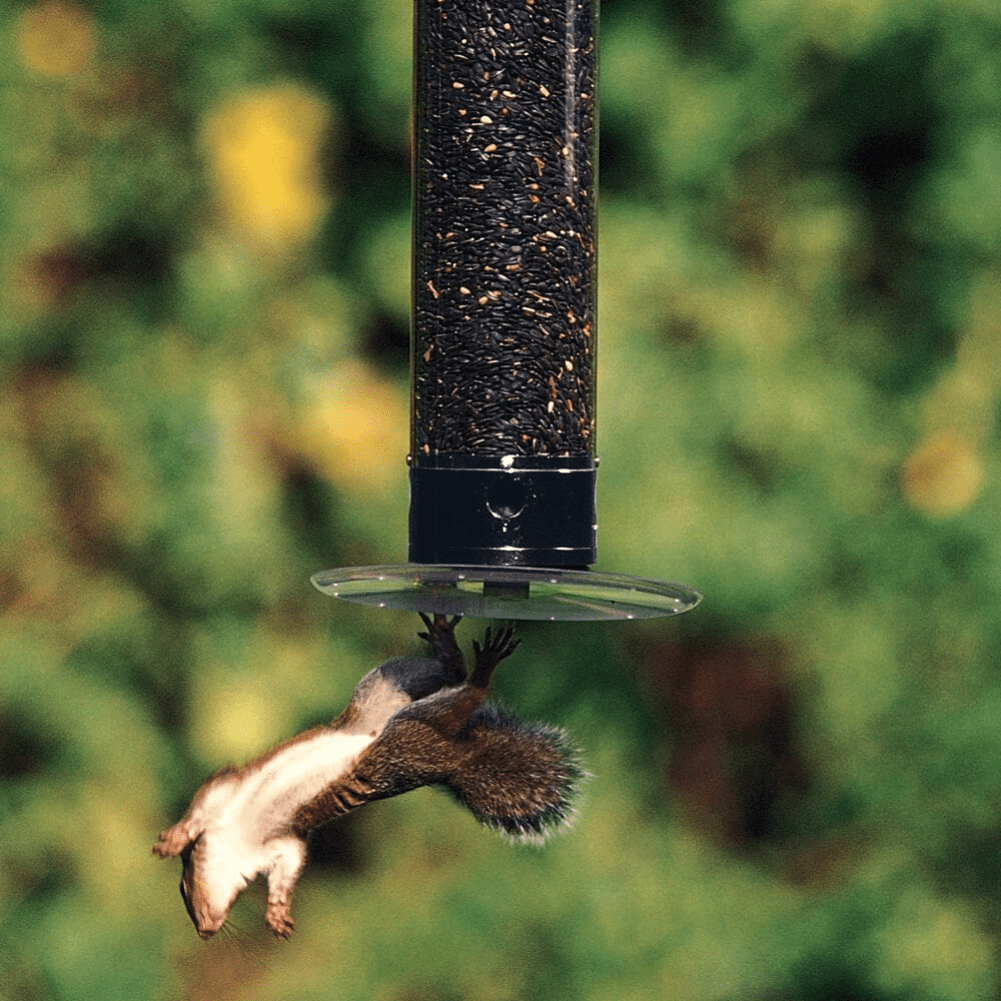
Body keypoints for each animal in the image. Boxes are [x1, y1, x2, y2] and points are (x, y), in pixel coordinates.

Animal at [153, 614, 583, 940]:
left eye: (183, 888)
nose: (205, 933)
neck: (237, 838)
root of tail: (455, 758)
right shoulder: (267, 836)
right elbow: (284, 865)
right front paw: (275, 910)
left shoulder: (231, 795)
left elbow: (208, 809)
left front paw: (172, 841)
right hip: (387, 693)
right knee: (449, 679)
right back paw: (449, 650)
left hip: (401, 732)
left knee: (465, 691)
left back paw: (474, 667)